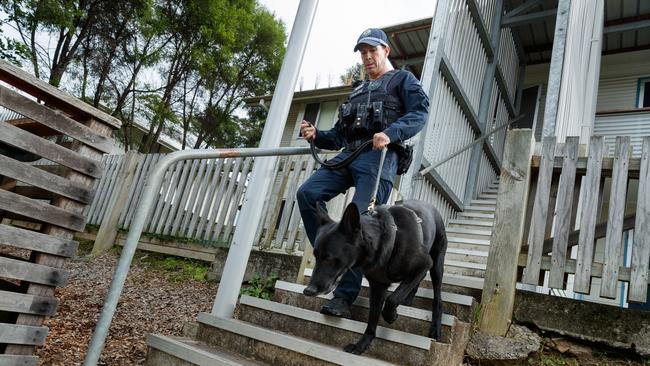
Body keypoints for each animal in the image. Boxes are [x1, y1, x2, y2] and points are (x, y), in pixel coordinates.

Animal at [302, 200, 446, 354]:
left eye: (329, 257)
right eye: (316, 255)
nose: (308, 291)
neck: (382, 240)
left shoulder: (424, 264)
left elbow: (392, 299)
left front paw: (391, 316)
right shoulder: (377, 287)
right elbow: (373, 317)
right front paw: (362, 345)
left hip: (436, 265)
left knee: (438, 298)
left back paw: (435, 328)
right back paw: (407, 301)